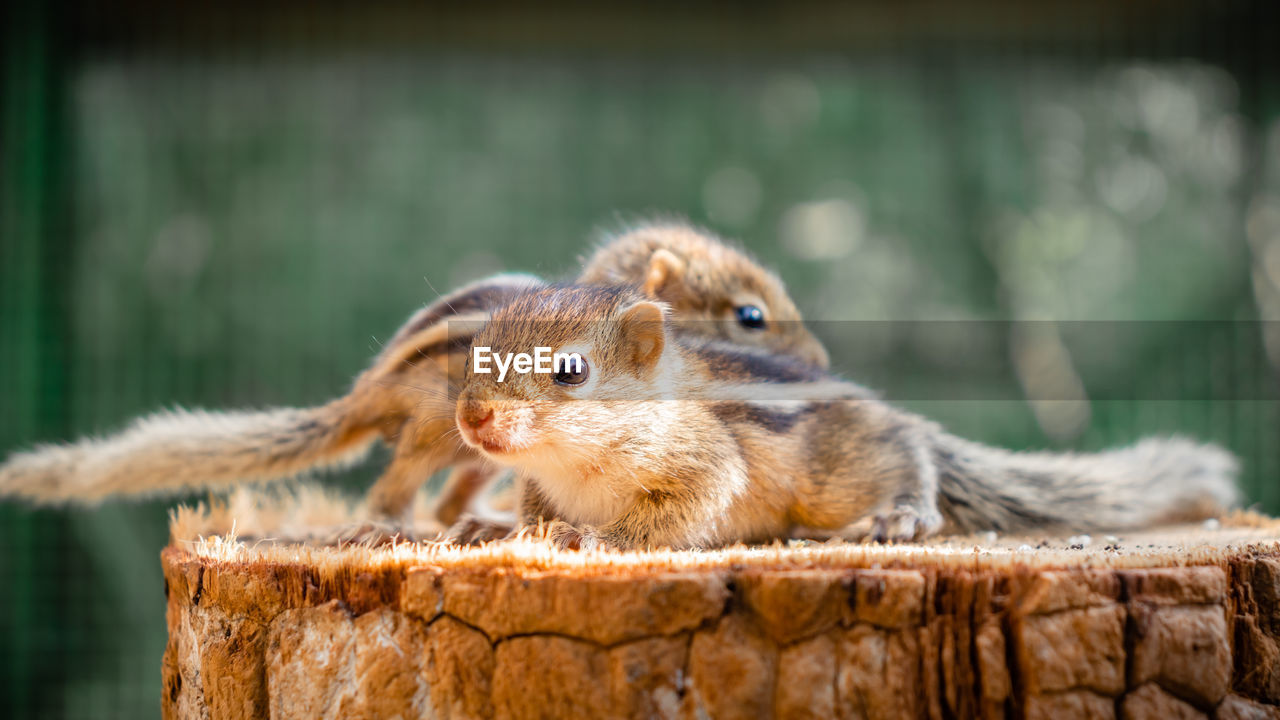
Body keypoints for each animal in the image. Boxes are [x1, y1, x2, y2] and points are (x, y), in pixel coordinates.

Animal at [0, 220, 829, 527]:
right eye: (750, 316)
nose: (819, 363)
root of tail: (364, 395)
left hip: (478, 454)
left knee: (452, 497)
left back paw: (479, 522)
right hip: (441, 432)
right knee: (391, 491)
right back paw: (392, 526)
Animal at [458, 283, 1239, 545]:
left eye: (569, 372)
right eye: (477, 352)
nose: (472, 419)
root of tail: (895, 414)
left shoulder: (707, 461)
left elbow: (675, 512)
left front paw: (595, 538)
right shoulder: (538, 480)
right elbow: (534, 506)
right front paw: (514, 528)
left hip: (845, 478)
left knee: (910, 462)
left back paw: (903, 513)